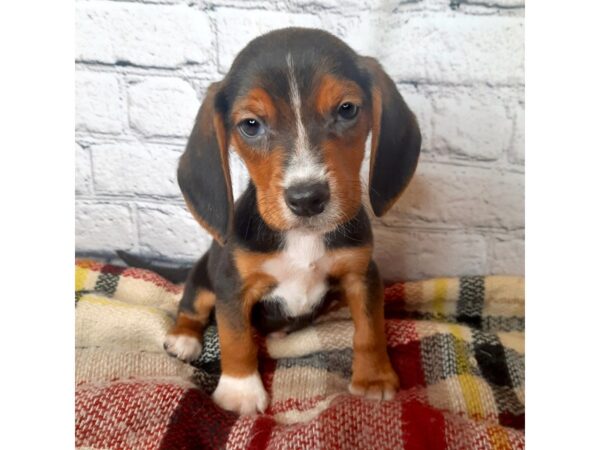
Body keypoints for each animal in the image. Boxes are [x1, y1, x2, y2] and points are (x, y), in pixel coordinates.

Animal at [162, 28, 420, 414]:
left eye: (347, 109)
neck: (302, 238)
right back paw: (183, 338)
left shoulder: (362, 274)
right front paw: (240, 391)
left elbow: (370, 327)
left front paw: (374, 378)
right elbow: (235, 337)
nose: (307, 198)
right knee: (192, 307)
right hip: (204, 278)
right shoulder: (231, 284)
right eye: (250, 125)